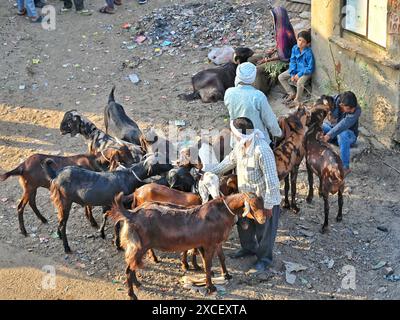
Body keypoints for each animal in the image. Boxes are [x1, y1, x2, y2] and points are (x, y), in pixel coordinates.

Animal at [0, 149, 128, 236]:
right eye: (126, 154)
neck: (94, 160)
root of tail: (22, 165)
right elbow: (89, 207)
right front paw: (92, 221)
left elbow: (87, 206)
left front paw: (89, 219)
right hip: (29, 188)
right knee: (20, 207)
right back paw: (24, 231)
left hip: (32, 188)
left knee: (32, 203)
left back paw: (43, 219)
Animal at [107, 192, 268, 300]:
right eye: (253, 205)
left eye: (263, 203)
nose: (263, 219)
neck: (222, 211)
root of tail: (131, 214)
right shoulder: (208, 243)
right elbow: (208, 264)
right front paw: (210, 287)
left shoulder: (217, 242)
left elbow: (222, 258)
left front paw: (226, 275)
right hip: (139, 246)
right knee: (129, 269)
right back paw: (132, 294)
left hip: (137, 247)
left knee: (131, 265)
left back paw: (137, 283)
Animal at [306, 104, 344, 232]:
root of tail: (336, 169)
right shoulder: (320, 171)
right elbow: (319, 179)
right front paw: (319, 192)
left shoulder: (308, 164)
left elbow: (310, 181)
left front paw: (309, 197)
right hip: (341, 188)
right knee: (341, 201)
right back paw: (339, 217)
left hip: (329, 189)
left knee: (326, 208)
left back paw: (324, 226)